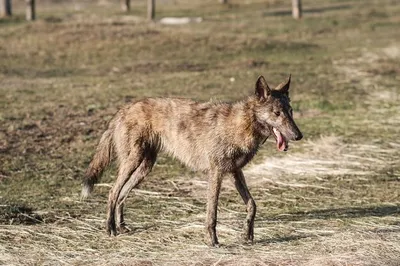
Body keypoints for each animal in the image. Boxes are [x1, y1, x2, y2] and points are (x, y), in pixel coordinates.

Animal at [83, 74, 304, 245]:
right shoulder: (216, 173)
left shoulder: (235, 172)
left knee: (122, 195)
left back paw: (121, 226)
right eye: (277, 113)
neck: (242, 124)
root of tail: (123, 109)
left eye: (290, 112)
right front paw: (212, 241)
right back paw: (110, 228)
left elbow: (252, 205)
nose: (298, 135)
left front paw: (247, 234)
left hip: (144, 167)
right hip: (133, 163)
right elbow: (212, 213)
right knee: (113, 192)